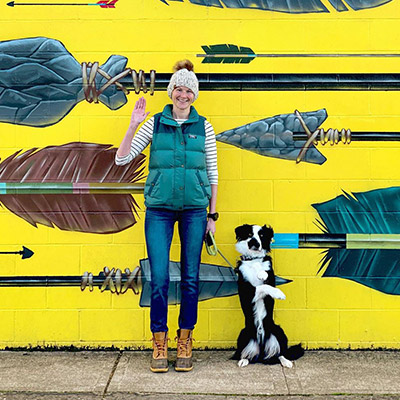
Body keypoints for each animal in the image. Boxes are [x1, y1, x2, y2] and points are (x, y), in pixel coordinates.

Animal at [231, 223, 304, 368]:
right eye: (249, 234)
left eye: (261, 235)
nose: (255, 242)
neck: (253, 260)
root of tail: (262, 348)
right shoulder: (246, 291)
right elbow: (261, 287)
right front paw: (278, 293)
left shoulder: (271, 276)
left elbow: (266, 278)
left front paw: (262, 275)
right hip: (243, 334)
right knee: (247, 353)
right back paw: (244, 359)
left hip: (279, 332)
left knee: (280, 353)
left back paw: (286, 361)